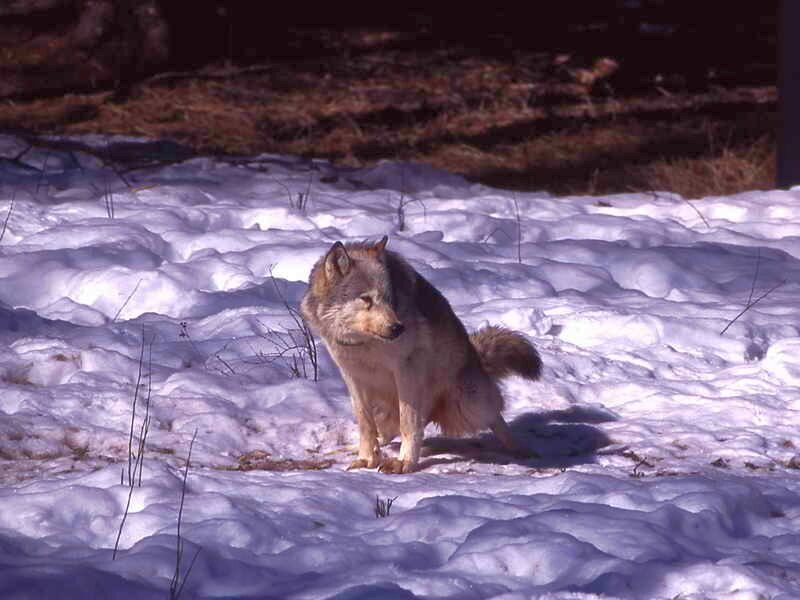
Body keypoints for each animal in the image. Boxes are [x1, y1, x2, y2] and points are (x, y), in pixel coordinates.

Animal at [300, 236, 542, 473]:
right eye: (366, 299)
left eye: (389, 299)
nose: (398, 328)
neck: (364, 343)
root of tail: (478, 359)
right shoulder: (352, 375)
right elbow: (365, 423)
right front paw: (367, 458)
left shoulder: (407, 369)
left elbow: (409, 423)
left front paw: (405, 462)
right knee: (386, 432)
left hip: (466, 405)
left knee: (495, 415)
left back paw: (521, 449)